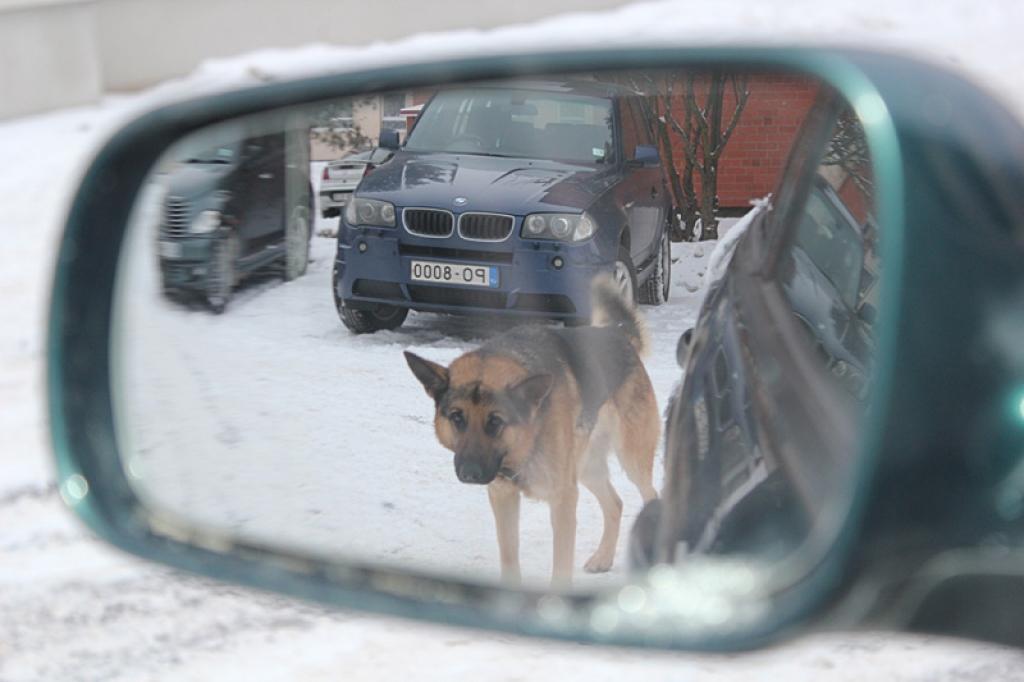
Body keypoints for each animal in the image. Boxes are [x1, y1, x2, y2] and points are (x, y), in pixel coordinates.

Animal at [403, 276, 659, 585]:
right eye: (456, 418)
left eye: (495, 421)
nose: (470, 473)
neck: (526, 437)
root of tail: (619, 335)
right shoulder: (503, 496)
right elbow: (509, 555)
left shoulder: (563, 498)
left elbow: (560, 568)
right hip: (586, 466)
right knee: (615, 504)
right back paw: (603, 558)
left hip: (631, 459)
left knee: (651, 496)